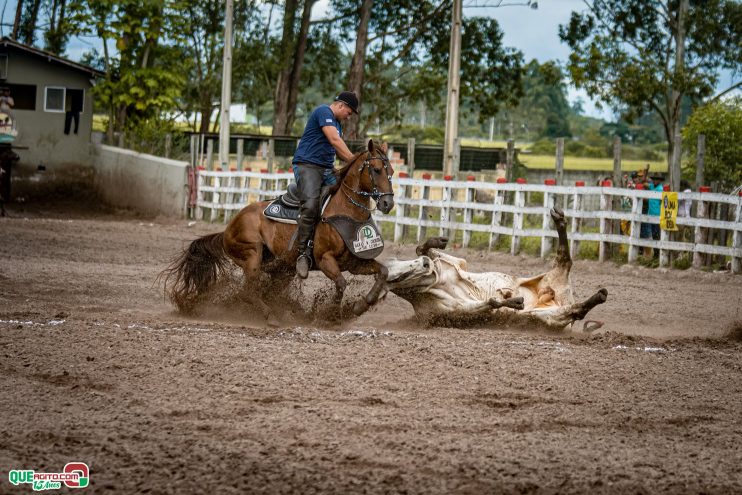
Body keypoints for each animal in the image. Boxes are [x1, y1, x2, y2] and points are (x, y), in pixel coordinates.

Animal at [161, 140, 396, 326]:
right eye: (376, 169)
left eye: (391, 172)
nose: (388, 203)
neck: (343, 211)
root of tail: (228, 227)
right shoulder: (325, 260)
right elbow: (341, 284)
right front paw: (332, 317)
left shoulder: (355, 262)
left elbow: (383, 273)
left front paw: (360, 306)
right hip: (252, 256)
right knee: (248, 290)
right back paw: (271, 316)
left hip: (282, 269)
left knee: (260, 291)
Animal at [386, 205, 608, 330]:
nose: (425, 266)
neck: (435, 283)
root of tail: (560, 294)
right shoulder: (455, 311)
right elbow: (491, 303)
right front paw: (513, 301)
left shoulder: (453, 263)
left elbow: (423, 248)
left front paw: (438, 241)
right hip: (547, 317)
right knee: (575, 309)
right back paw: (598, 296)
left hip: (553, 276)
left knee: (565, 259)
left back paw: (558, 219)